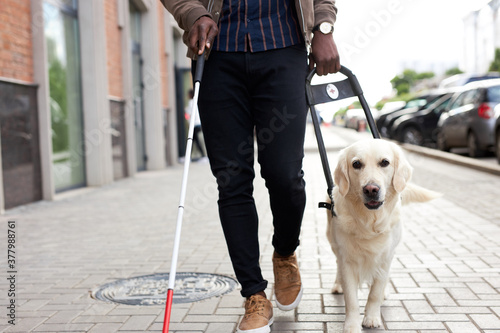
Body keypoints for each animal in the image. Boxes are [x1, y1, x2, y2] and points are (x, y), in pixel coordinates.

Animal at [326, 139, 440, 330]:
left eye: (385, 162)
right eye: (356, 164)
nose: (371, 189)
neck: (370, 221)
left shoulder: (386, 256)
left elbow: (375, 292)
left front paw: (371, 317)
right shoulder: (347, 258)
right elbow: (351, 299)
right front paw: (352, 325)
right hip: (333, 242)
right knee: (337, 264)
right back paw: (337, 284)